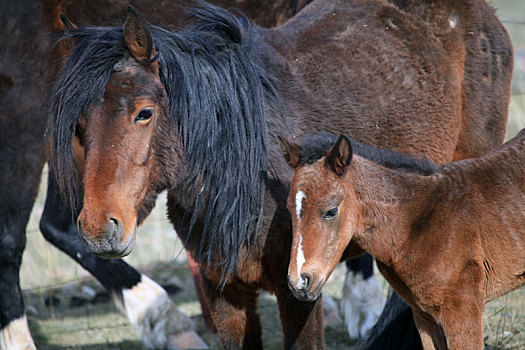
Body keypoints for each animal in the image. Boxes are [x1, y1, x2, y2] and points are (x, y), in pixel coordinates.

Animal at [282, 131, 524, 350]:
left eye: (331, 211)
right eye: (289, 210)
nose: (299, 283)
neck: (419, 220)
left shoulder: (463, 311)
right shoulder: (425, 316)